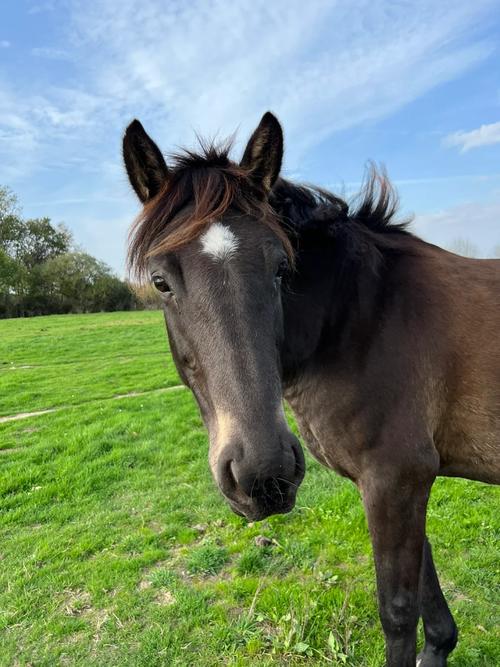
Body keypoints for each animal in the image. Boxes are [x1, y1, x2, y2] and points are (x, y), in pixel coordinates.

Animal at [123, 112, 500, 666]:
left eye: (283, 267)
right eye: (160, 281)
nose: (263, 476)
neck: (362, 317)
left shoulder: (396, 479)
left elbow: (398, 611)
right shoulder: (399, 485)